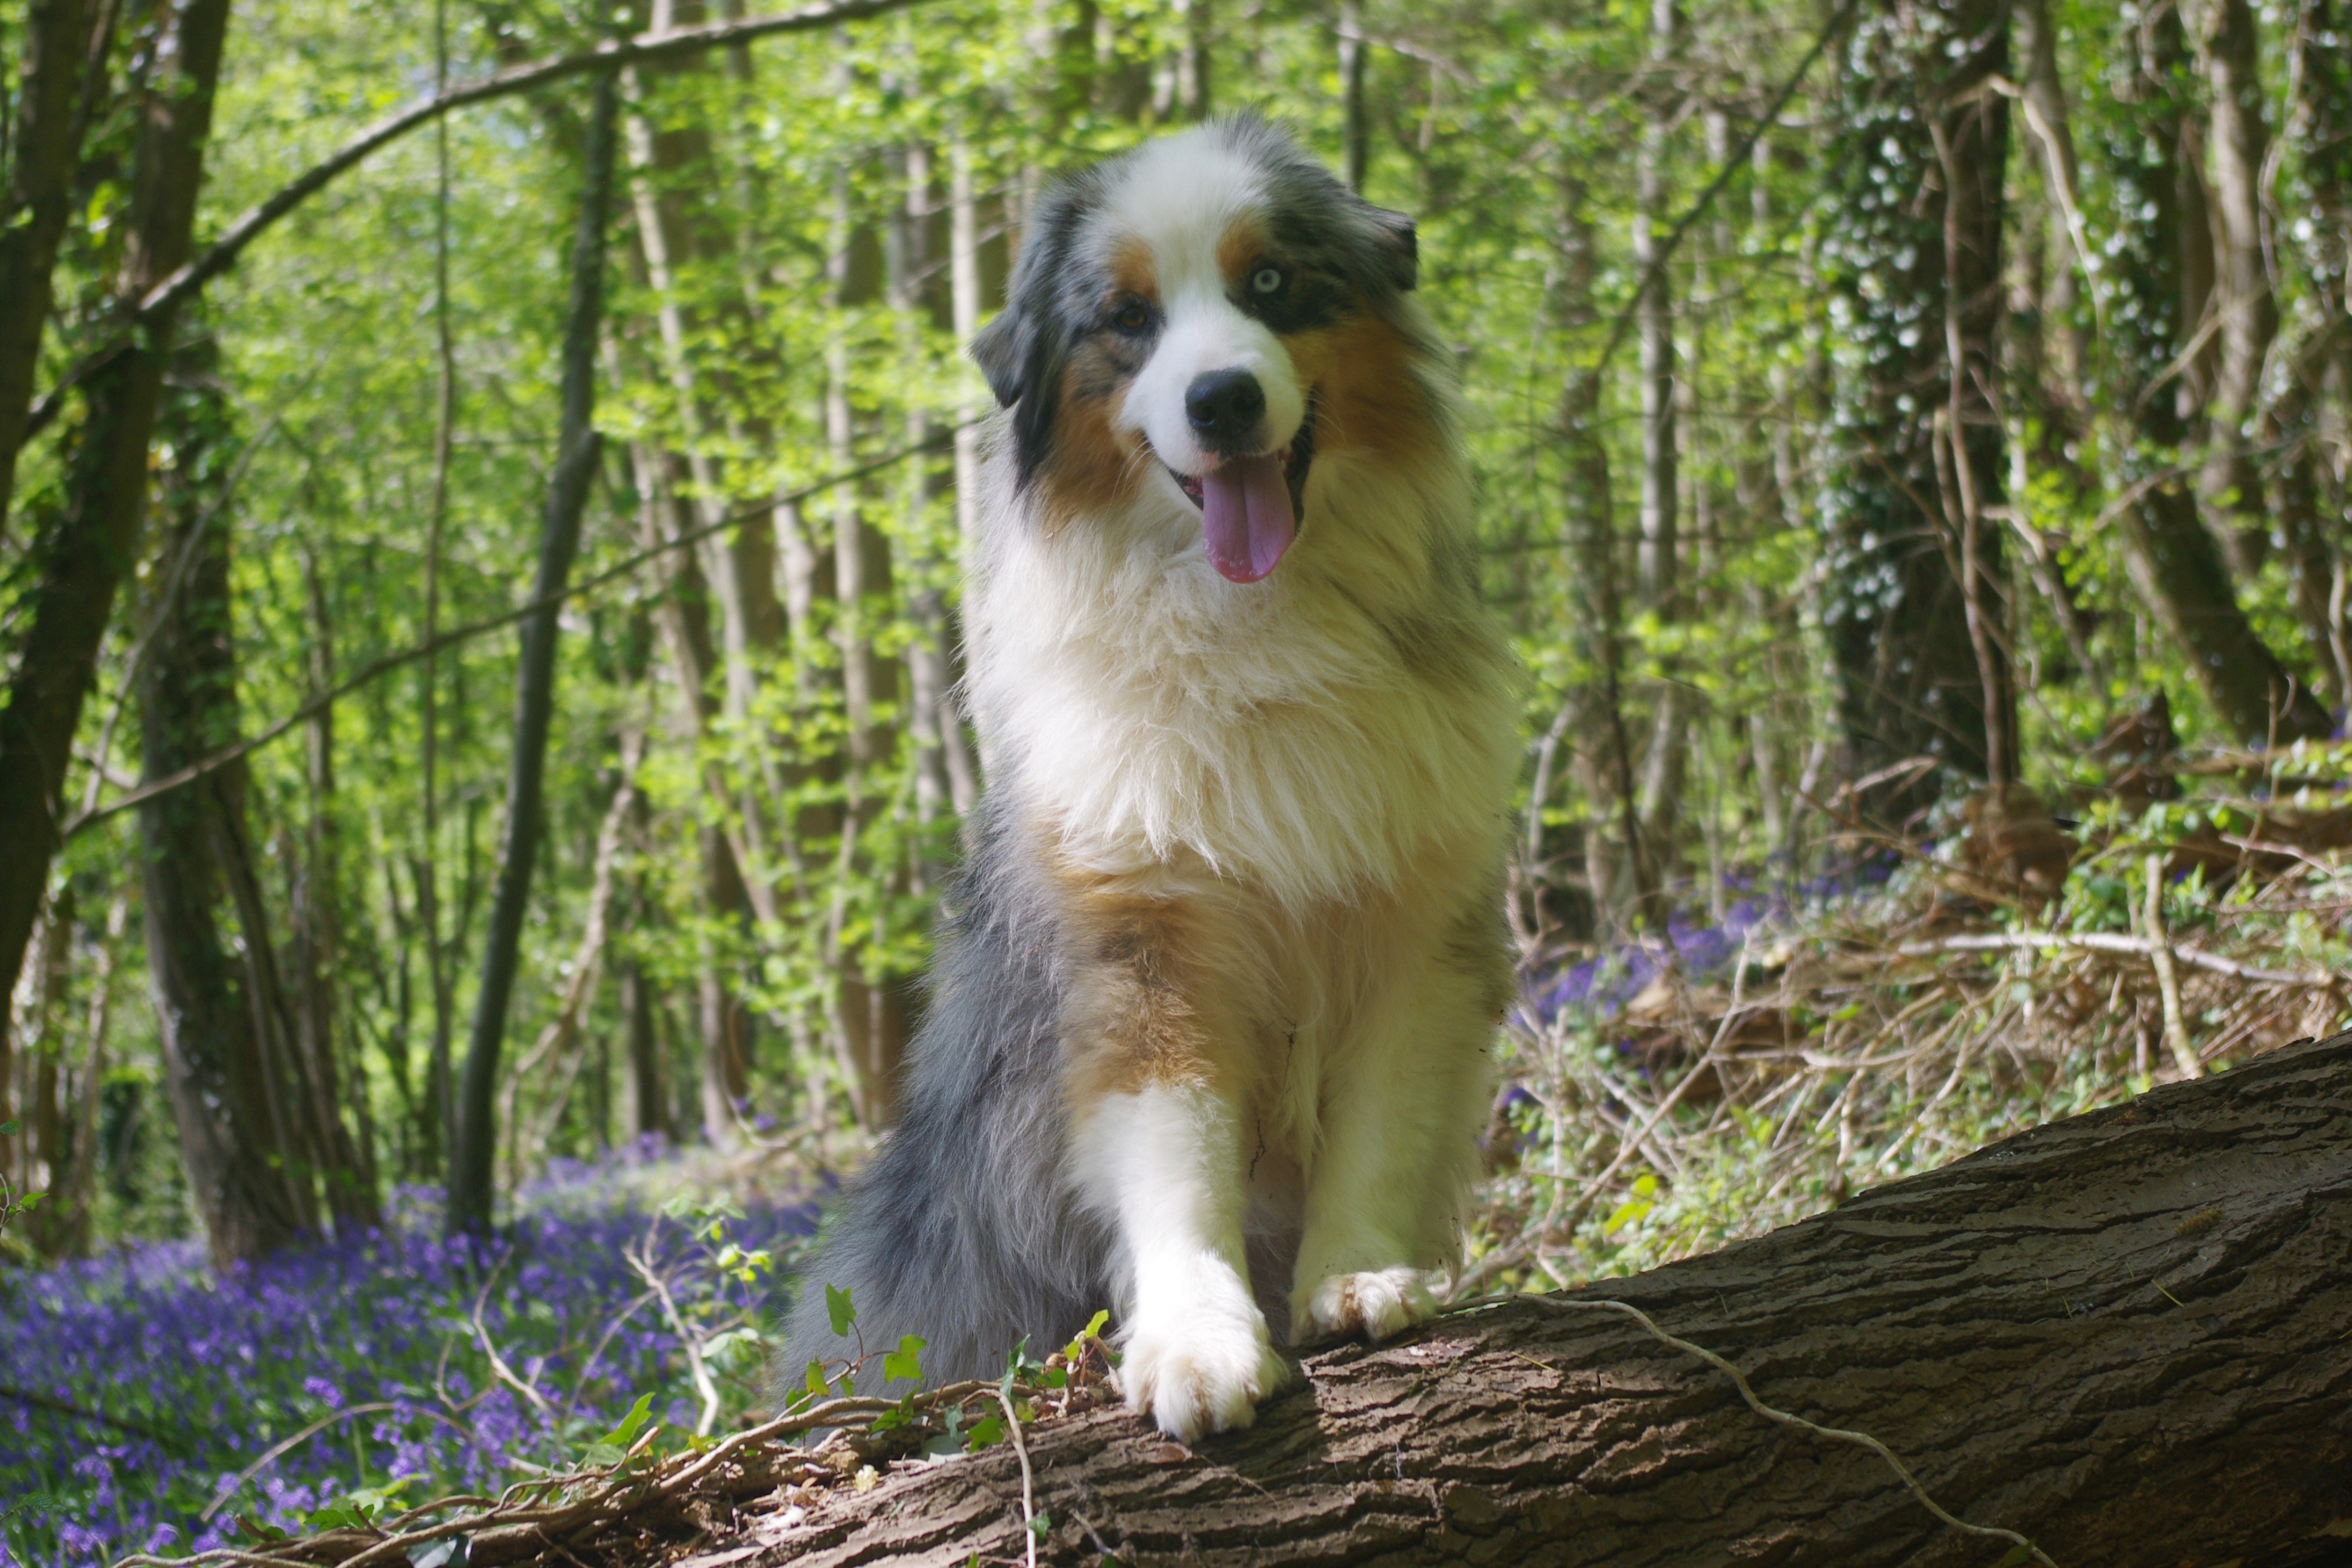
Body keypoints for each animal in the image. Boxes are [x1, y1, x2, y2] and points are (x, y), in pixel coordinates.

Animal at [785, 116, 1524, 1448]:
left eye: (1270, 281)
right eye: (1127, 318)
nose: (1220, 398)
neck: (1252, 628)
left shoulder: (1412, 925)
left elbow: (1379, 1129)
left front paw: (1357, 1273)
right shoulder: (1143, 945)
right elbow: (1178, 1161)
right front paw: (1195, 1339)